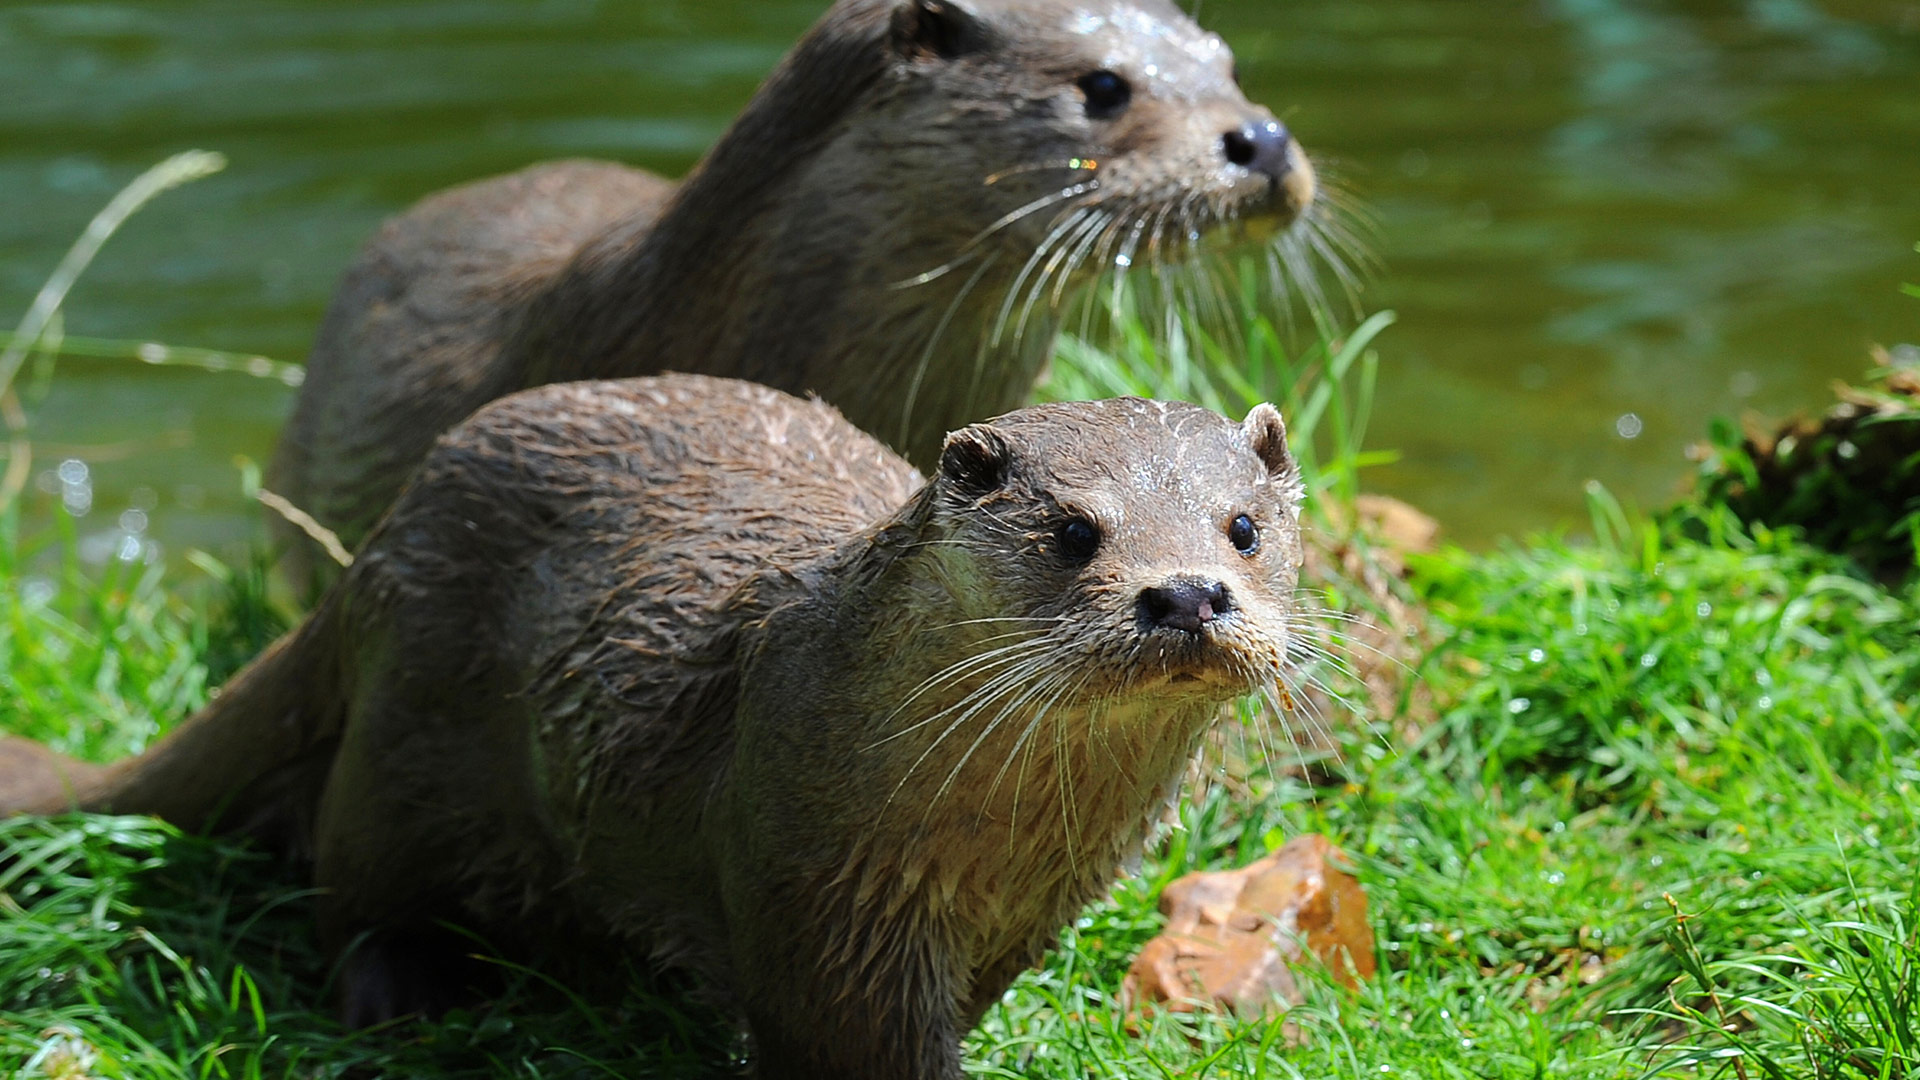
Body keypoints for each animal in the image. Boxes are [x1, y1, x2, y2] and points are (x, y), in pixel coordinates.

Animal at [0, 374, 1313, 1068]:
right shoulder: (817, 894)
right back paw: (403, 1002)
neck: (989, 841)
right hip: (404, 744)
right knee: (350, 888)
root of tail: (381, 539)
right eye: (1073, 532)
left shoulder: (1024, 914)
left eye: (1244, 527)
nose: (1186, 593)